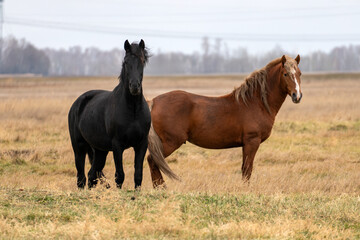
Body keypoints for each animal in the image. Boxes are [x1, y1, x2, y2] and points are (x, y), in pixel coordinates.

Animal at [68, 39, 150, 189]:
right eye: (126, 62)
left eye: (142, 61)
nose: (134, 87)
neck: (133, 111)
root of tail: (78, 103)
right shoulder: (117, 146)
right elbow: (120, 176)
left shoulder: (141, 144)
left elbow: (138, 175)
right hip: (79, 147)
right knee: (81, 177)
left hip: (100, 150)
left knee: (92, 175)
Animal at [146, 55, 300, 188]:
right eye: (285, 74)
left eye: (299, 73)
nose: (297, 96)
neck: (255, 102)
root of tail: (154, 101)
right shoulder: (252, 141)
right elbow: (247, 169)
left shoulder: (246, 144)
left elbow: (245, 168)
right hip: (171, 142)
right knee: (153, 160)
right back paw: (161, 189)